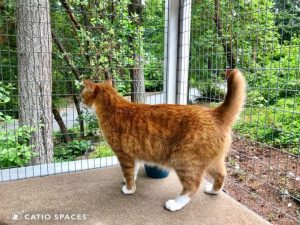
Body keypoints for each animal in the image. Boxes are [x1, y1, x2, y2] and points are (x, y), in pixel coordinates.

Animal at [81, 68, 246, 211]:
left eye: (82, 95)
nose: (80, 102)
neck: (113, 107)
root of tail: (214, 113)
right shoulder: (134, 155)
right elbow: (133, 171)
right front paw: (130, 181)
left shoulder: (124, 155)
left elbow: (128, 173)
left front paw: (129, 188)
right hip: (212, 162)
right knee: (221, 175)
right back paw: (213, 190)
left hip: (184, 161)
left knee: (192, 186)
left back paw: (176, 204)